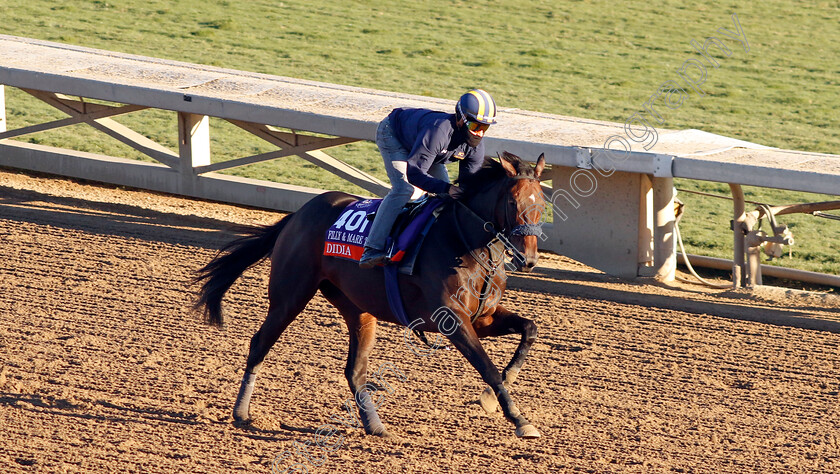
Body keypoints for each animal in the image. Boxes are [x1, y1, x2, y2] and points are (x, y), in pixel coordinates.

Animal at [194, 151, 548, 436]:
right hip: (289, 296)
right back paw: (242, 412)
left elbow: (529, 329)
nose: (529, 259)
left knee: (355, 371)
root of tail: (298, 214)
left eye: (543, 204)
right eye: (513, 203)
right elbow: (488, 367)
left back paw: (375, 425)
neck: (465, 243)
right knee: (260, 344)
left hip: (359, 309)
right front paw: (520, 420)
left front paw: (499, 392)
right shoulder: (452, 320)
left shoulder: (481, 318)